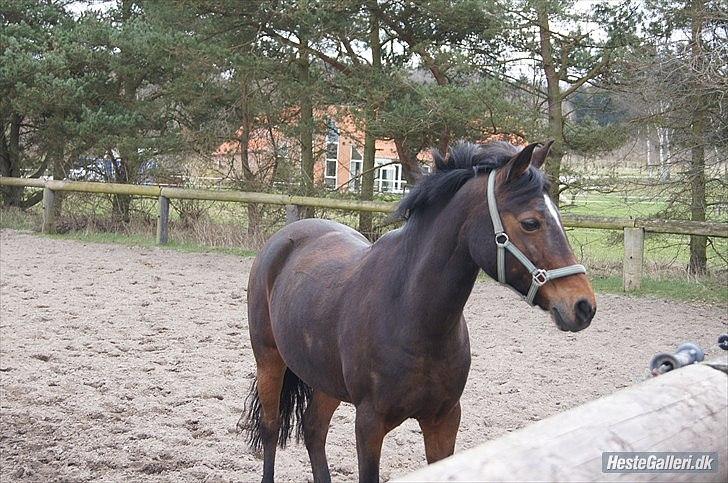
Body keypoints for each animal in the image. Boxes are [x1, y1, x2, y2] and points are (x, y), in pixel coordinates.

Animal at [242, 141, 596, 483]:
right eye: (530, 223)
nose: (583, 305)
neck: (413, 315)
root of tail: (285, 238)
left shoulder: (445, 419)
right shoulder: (369, 424)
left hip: (325, 379)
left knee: (314, 429)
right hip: (270, 361)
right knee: (271, 429)